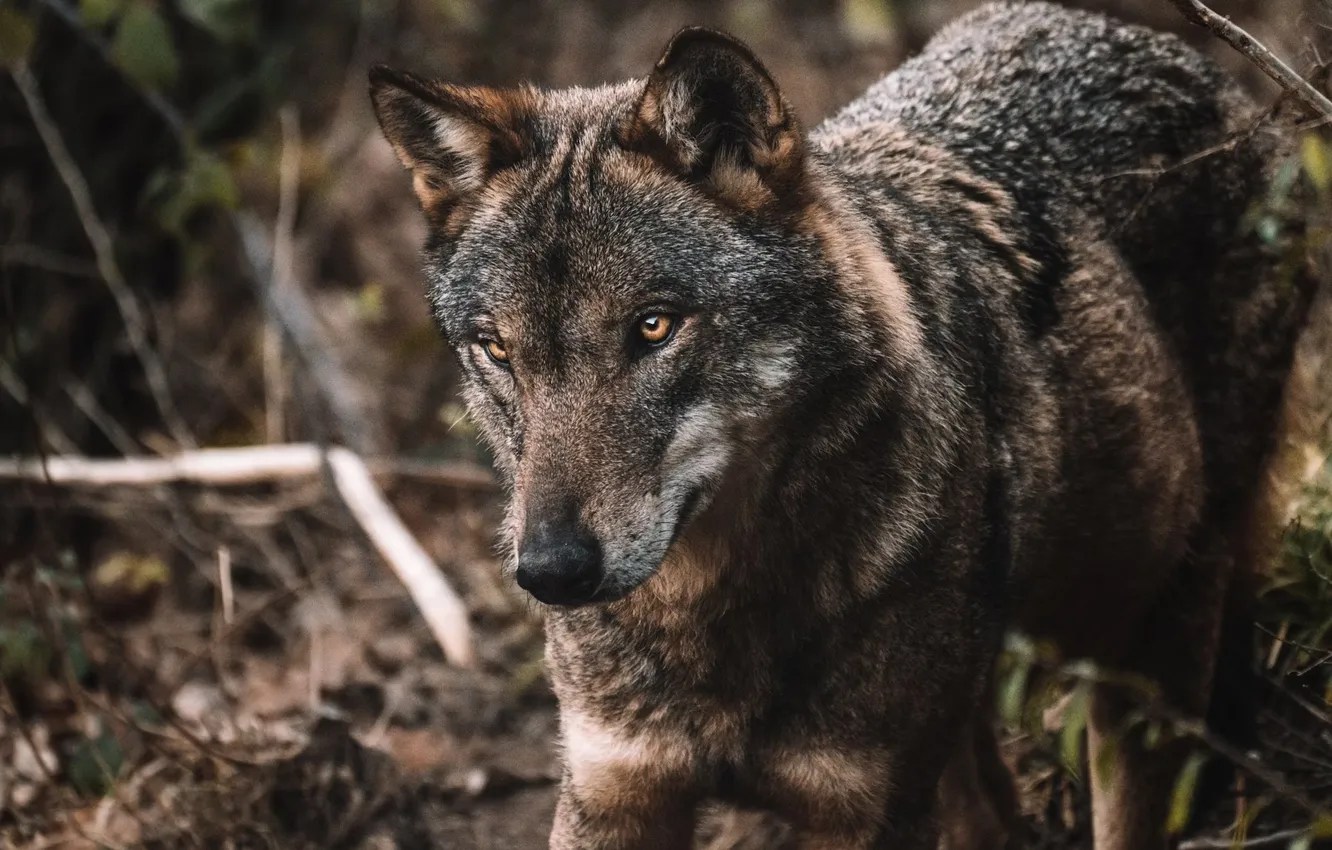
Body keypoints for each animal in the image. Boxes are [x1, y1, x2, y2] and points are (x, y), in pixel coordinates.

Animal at [370, 2, 1316, 848]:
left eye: (654, 327)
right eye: (497, 349)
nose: (552, 573)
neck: (715, 616)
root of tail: (1160, 44)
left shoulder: (863, 811)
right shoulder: (614, 794)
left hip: (1149, 640)